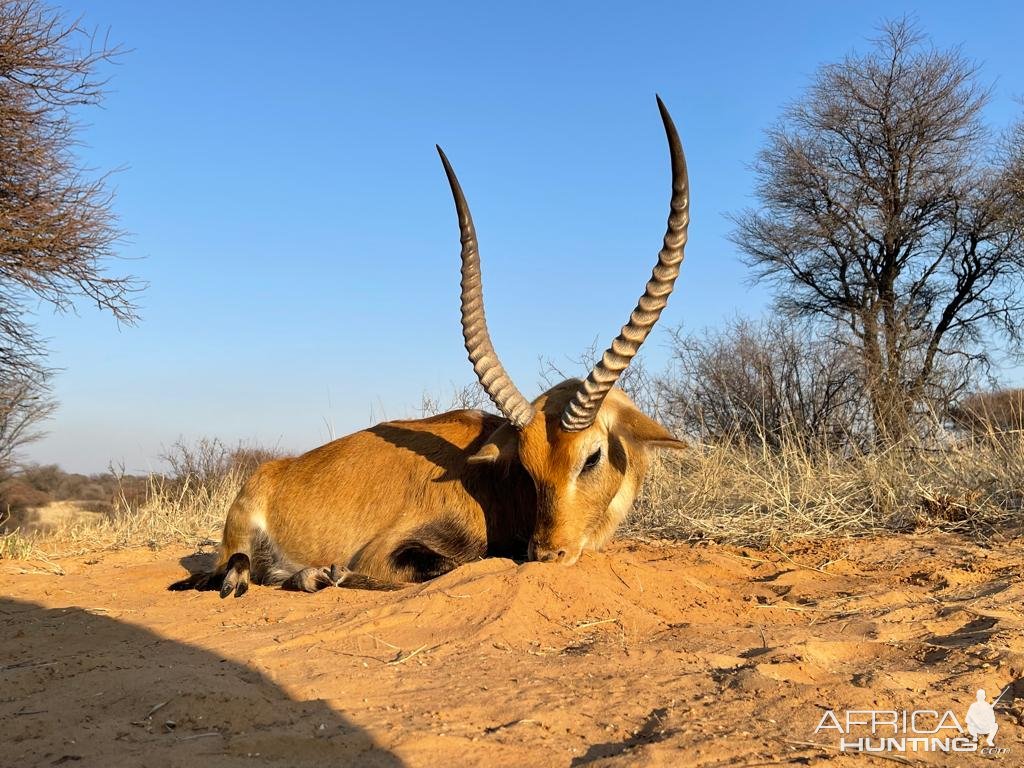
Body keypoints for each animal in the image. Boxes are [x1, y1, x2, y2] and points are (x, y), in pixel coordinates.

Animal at [172, 96, 692, 598]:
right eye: (526, 467)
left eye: (591, 457)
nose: (548, 554)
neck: (495, 483)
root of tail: (274, 470)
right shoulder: (387, 554)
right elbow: (445, 565)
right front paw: (335, 574)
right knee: (237, 568)